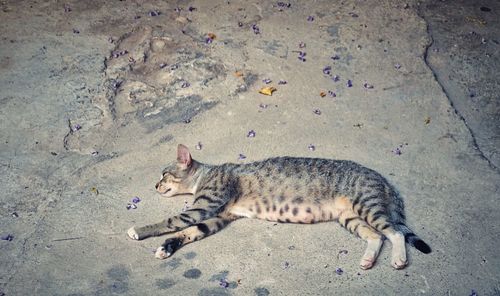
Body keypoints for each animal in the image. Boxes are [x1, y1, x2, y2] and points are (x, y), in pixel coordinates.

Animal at [128, 145, 430, 270]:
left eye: (165, 174)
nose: (155, 185)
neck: (207, 174)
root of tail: (382, 178)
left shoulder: (205, 206)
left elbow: (171, 222)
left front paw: (139, 230)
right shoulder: (218, 217)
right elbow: (188, 233)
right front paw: (166, 247)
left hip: (367, 205)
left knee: (395, 232)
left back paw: (399, 259)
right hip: (350, 218)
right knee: (377, 236)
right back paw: (367, 260)